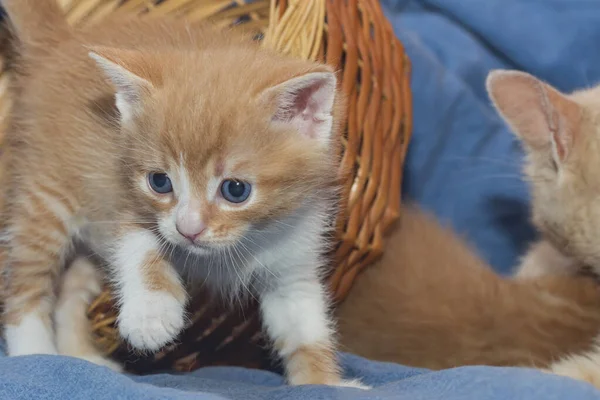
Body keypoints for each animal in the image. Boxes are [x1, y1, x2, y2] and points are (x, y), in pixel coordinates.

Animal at [1, 0, 366, 388]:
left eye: (236, 190)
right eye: (160, 182)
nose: (188, 229)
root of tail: (61, 40)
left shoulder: (295, 253)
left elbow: (304, 328)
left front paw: (326, 383)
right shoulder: (120, 196)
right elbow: (140, 243)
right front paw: (151, 314)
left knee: (70, 288)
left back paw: (80, 356)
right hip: (46, 196)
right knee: (25, 281)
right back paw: (35, 354)